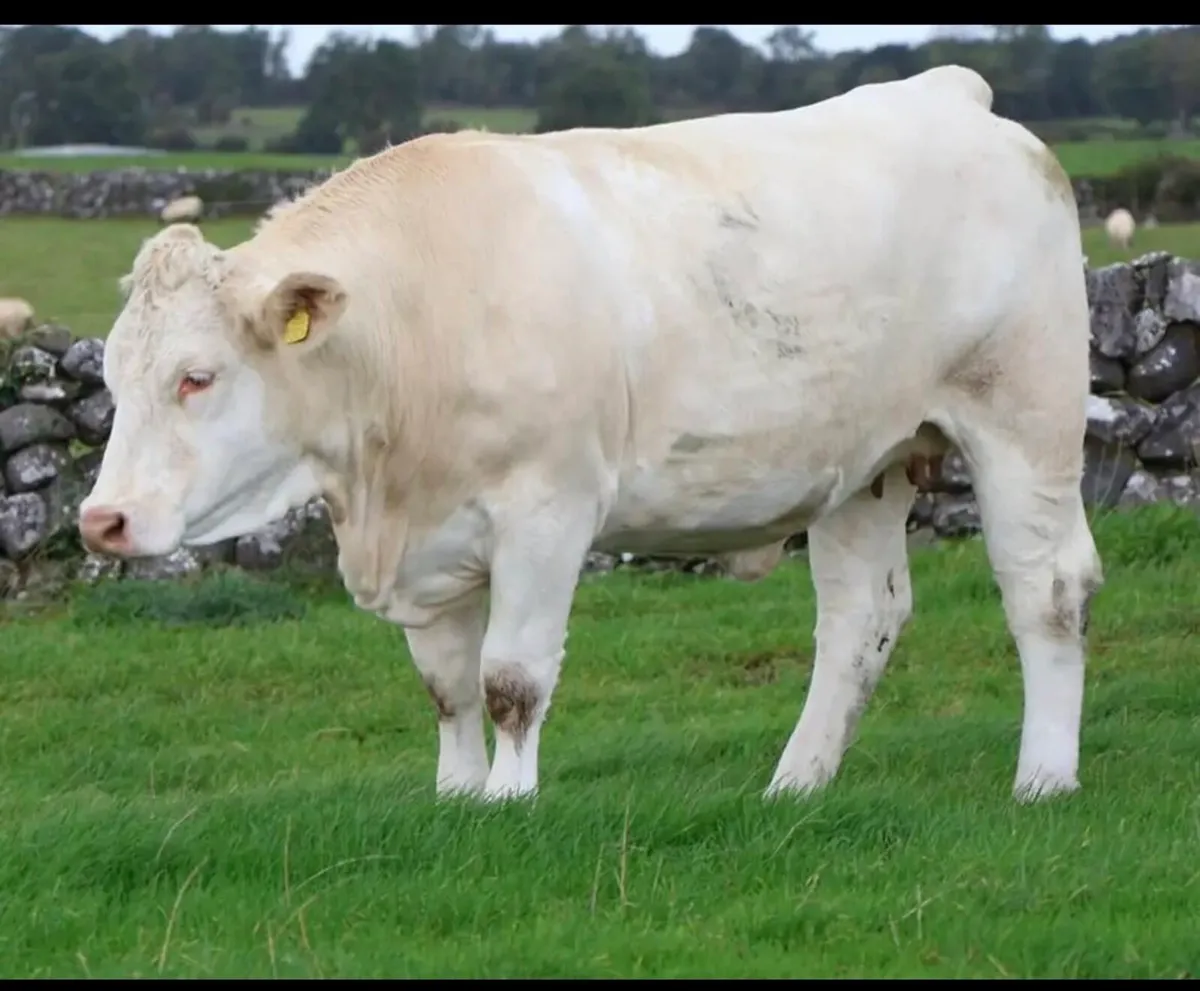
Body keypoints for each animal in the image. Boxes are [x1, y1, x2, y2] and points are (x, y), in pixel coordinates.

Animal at [78, 65, 1103, 806]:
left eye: (196, 376)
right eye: (113, 378)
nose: (101, 521)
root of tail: (950, 91)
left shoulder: (547, 507)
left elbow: (510, 678)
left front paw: (507, 801)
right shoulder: (428, 535)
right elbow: (447, 685)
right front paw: (454, 796)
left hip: (1025, 415)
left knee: (1047, 588)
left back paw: (1043, 778)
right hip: (865, 463)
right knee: (861, 618)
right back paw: (795, 785)